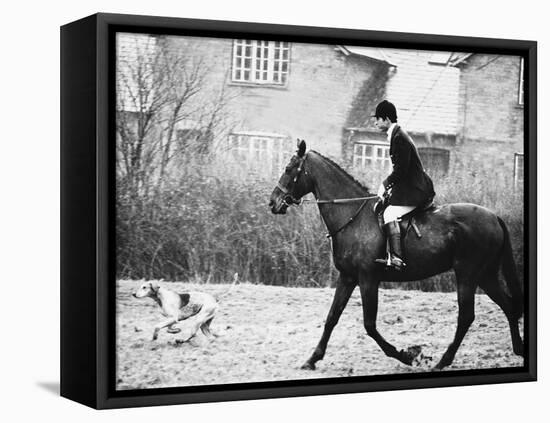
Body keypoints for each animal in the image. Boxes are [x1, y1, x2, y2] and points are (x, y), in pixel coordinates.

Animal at [270, 140, 528, 372]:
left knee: (466, 316)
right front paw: (312, 359)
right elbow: (332, 317)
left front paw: (408, 355)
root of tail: (494, 217)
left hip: (467, 274)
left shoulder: (368, 278)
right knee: (507, 306)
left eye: (289, 169)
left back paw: (442, 361)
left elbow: (370, 325)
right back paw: (518, 349)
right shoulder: (347, 277)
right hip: (485, 275)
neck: (352, 216)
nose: (273, 202)